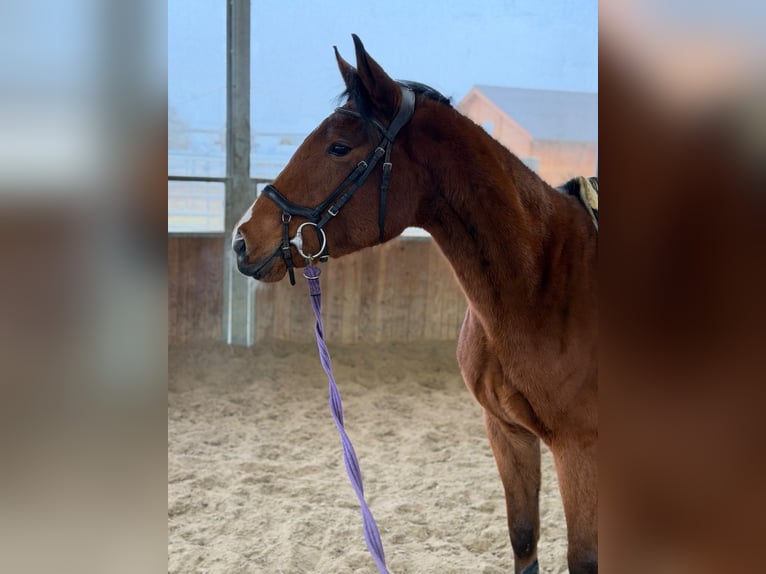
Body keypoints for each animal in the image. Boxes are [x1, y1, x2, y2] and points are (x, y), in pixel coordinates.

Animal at [233, 35, 598, 574]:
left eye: (339, 148)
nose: (242, 241)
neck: (540, 287)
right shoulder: (508, 433)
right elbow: (523, 538)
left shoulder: (580, 451)